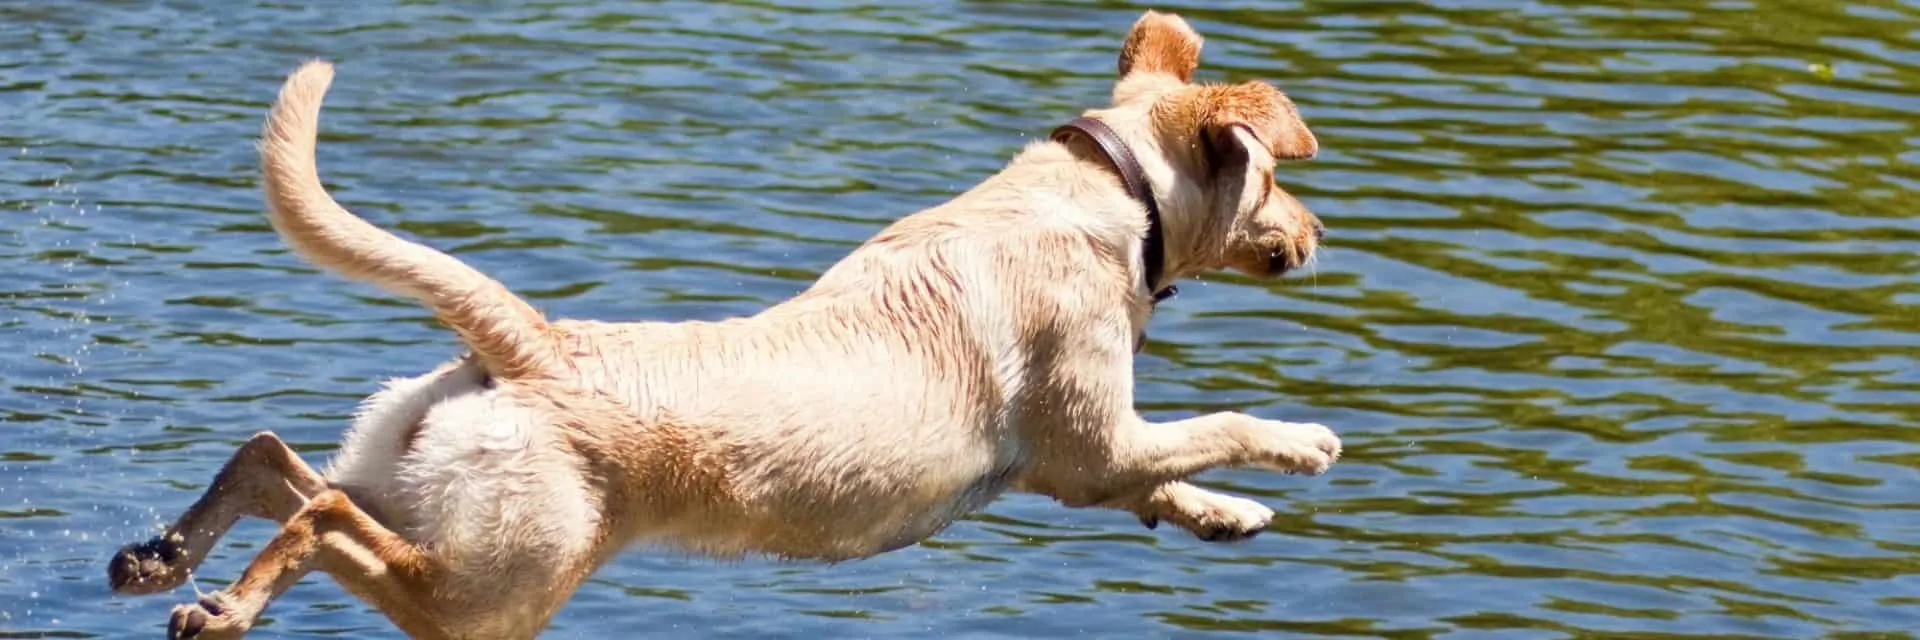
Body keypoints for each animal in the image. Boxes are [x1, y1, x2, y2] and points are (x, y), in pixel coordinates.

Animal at [105, 11, 1336, 638]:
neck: (1111, 194)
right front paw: (1302, 444)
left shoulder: (1090, 462)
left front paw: (1226, 515)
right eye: (1277, 179)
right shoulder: (1092, 441)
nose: (1319, 233)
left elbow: (1165, 478)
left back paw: (160, 557)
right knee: (321, 521)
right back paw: (222, 606)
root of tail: (531, 341)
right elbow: (1213, 426)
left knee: (279, 462)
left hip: (422, 488)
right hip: (494, 587)